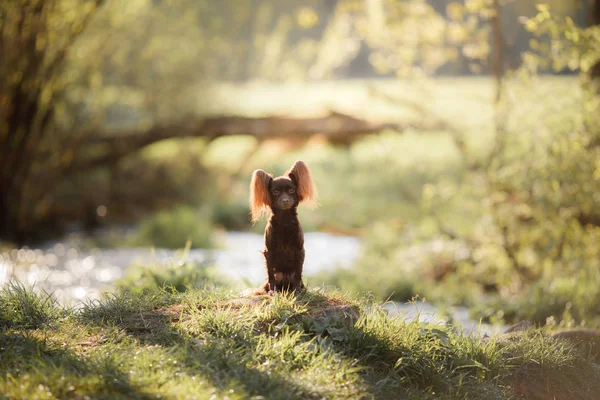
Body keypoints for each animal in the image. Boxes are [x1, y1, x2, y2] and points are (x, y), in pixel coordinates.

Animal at [250, 159, 318, 294]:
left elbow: (298, 273)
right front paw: (272, 291)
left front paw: (297, 290)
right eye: (275, 192)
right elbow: (270, 274)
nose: (285, 200)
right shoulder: (269, 252)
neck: (284, 221)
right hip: (277, 275)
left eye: (291, 191)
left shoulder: (299, 250)